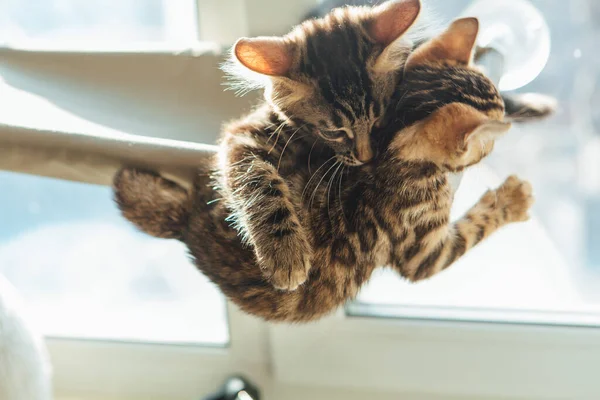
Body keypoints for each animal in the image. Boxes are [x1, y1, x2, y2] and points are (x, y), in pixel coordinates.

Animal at [116, 16, 536, 322]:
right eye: (488, 145)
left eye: (379, 122)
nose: (364, 155)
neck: (397, 152)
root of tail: (187, 224)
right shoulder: (421, 247)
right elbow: (470, 231)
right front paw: (513, 198)